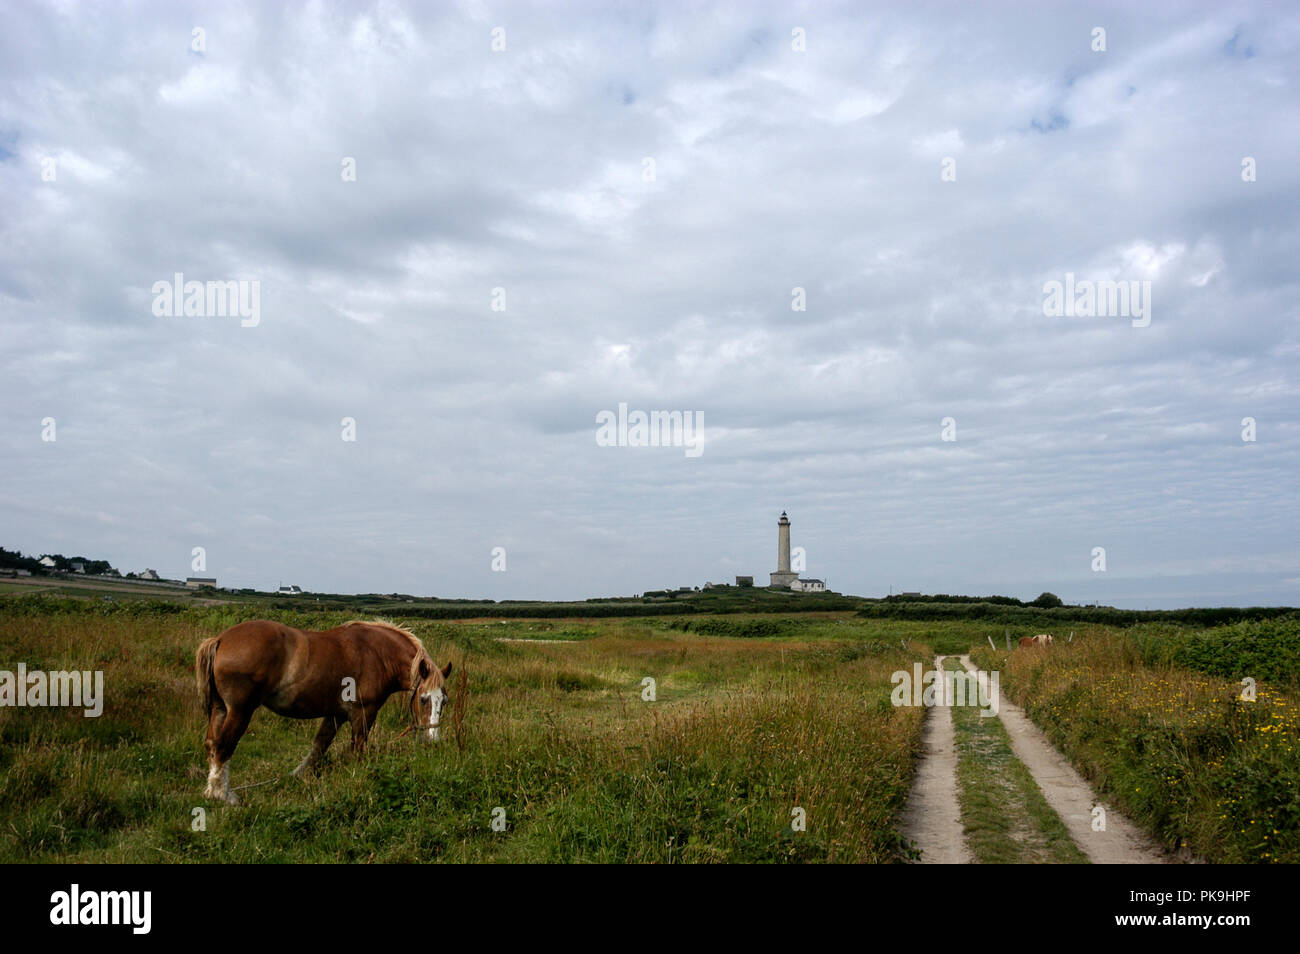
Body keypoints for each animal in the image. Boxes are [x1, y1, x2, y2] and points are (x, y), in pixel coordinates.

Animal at [195, 619, 452, 804]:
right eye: (423, 699)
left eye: (444, 701)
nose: (433, 740)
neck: (378, 652)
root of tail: (220, 639)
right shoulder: (363, 713)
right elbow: (358, 749)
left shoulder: (336, 714)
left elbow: (319, 746)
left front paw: (298, 777)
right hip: (240, 711)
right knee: (223, 745)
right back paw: (223, 796)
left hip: (220, 709)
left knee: (212, 743)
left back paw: (212, 791)